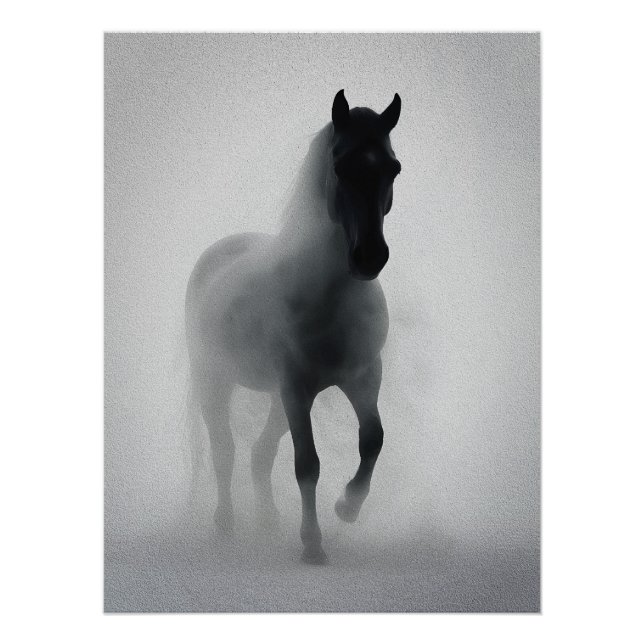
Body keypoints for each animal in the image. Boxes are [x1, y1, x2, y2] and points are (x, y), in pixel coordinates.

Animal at [185, 90, 402, 564]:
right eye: (340, 166)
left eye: (392, 167)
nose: (368, 257)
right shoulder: (297, 386)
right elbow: (308, 466)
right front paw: (313, 545)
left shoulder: (362, 377)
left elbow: (373, 440)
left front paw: (347, 507)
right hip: (217, 381)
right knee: (226, 452)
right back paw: (225, 524)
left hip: (277, 398)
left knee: (260, 454)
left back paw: (268, 522)